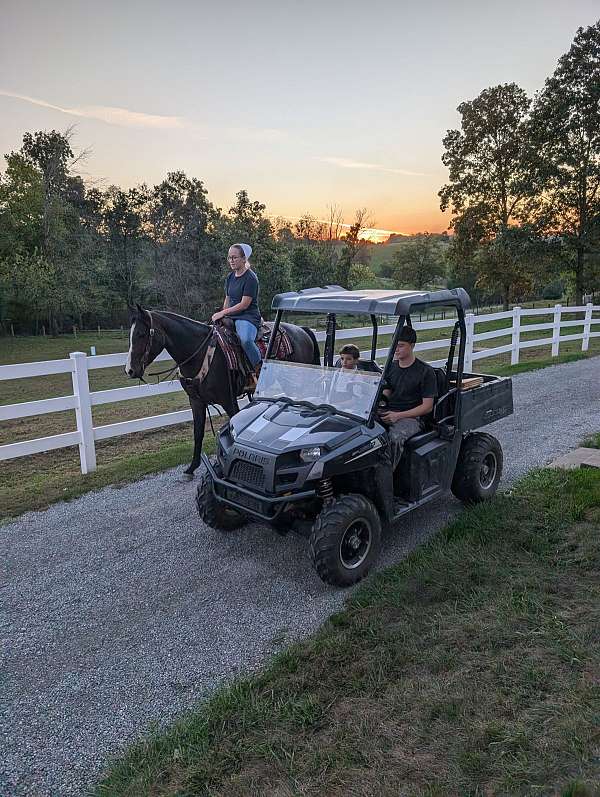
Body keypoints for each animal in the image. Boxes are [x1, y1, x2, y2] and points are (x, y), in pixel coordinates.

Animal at [125, 304, 322, 478]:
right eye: (130, 336)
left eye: (141, 334)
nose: (130, 370)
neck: (199, 353)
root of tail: (302, 330)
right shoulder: (196, 401)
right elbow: (198, 433)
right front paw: (192, 468)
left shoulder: (228, 400)